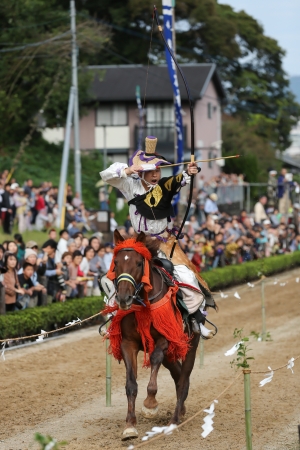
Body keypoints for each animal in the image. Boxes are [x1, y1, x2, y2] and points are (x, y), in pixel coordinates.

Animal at [102, 230, 199, 442]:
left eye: (139, 263)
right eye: (116, 263)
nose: (123, 298)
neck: (144, 304)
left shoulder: (166, 337)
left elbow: (154, 359)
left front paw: (150, 404)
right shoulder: (128, 343)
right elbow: (131, 384)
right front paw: (130, 426)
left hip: (190, 344)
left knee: (183, 380)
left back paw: (173, 421)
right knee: (177, 373)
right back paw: (181, 411)